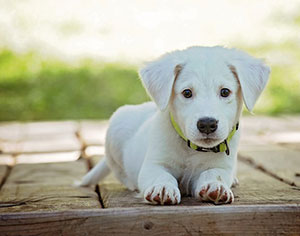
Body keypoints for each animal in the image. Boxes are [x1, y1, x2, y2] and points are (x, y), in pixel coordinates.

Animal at [81, 46, 270, 205]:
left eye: (225, 92)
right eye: (187, 93)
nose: (207, 124)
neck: (191, 149)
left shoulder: (221, 166)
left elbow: (214, 174)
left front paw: (215, 186)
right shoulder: (154, 164)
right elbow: (161, 175)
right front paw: (163, 188)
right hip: (116, 128)